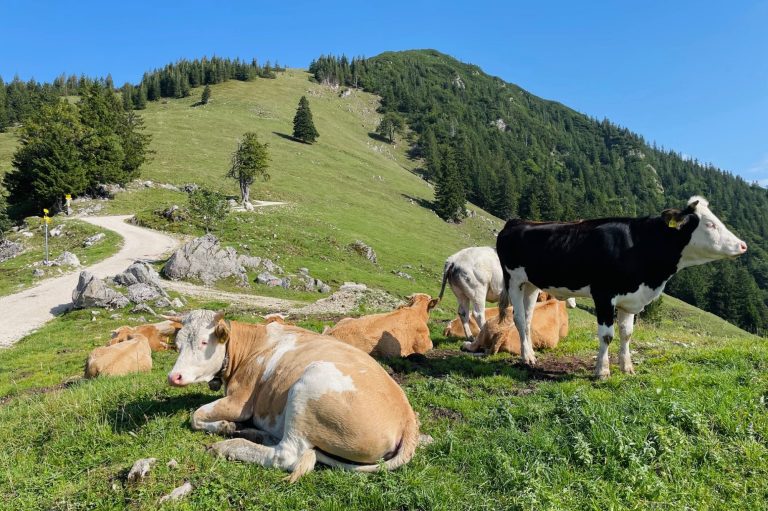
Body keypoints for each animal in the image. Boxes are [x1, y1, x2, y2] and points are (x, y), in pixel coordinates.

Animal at [166, 310, 423, 482]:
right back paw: (253, 433)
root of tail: (407, 415)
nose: (173, 376)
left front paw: (224, 426)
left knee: (287, 455)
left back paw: (230, 446)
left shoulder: (240, 402)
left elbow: (195, 416)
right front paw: (228, 425)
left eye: (203, 342)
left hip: (308, 387)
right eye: (177, 345)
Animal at [496, 196, 747, 378]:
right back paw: (526, 359)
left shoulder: (631, 299)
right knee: (518, 318)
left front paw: (627, 367)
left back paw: (530, 353)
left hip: (531, 284)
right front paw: (602, 371)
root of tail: (516, 221)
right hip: (513, 280)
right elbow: (607, 335)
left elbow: (627, 334)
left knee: (528, 318)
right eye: (710, 224)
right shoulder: (603, 295)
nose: (742, 245)